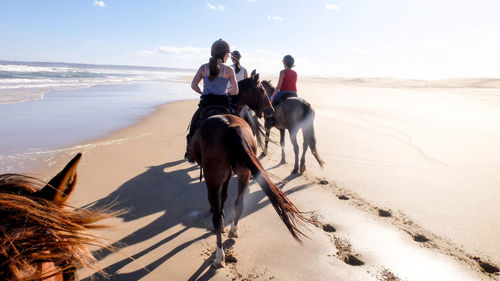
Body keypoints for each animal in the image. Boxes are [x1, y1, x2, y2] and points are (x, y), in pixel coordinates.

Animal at [188, 73, 308, 266]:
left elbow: (219, 201)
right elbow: (225, 196)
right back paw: (233, 230)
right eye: (262, 91)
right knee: (239, 203)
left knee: (218, 216)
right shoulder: (229, 173)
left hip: (213, 176)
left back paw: (219, 256)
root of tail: (230, 128)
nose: (271, 110)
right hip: (244, 172)